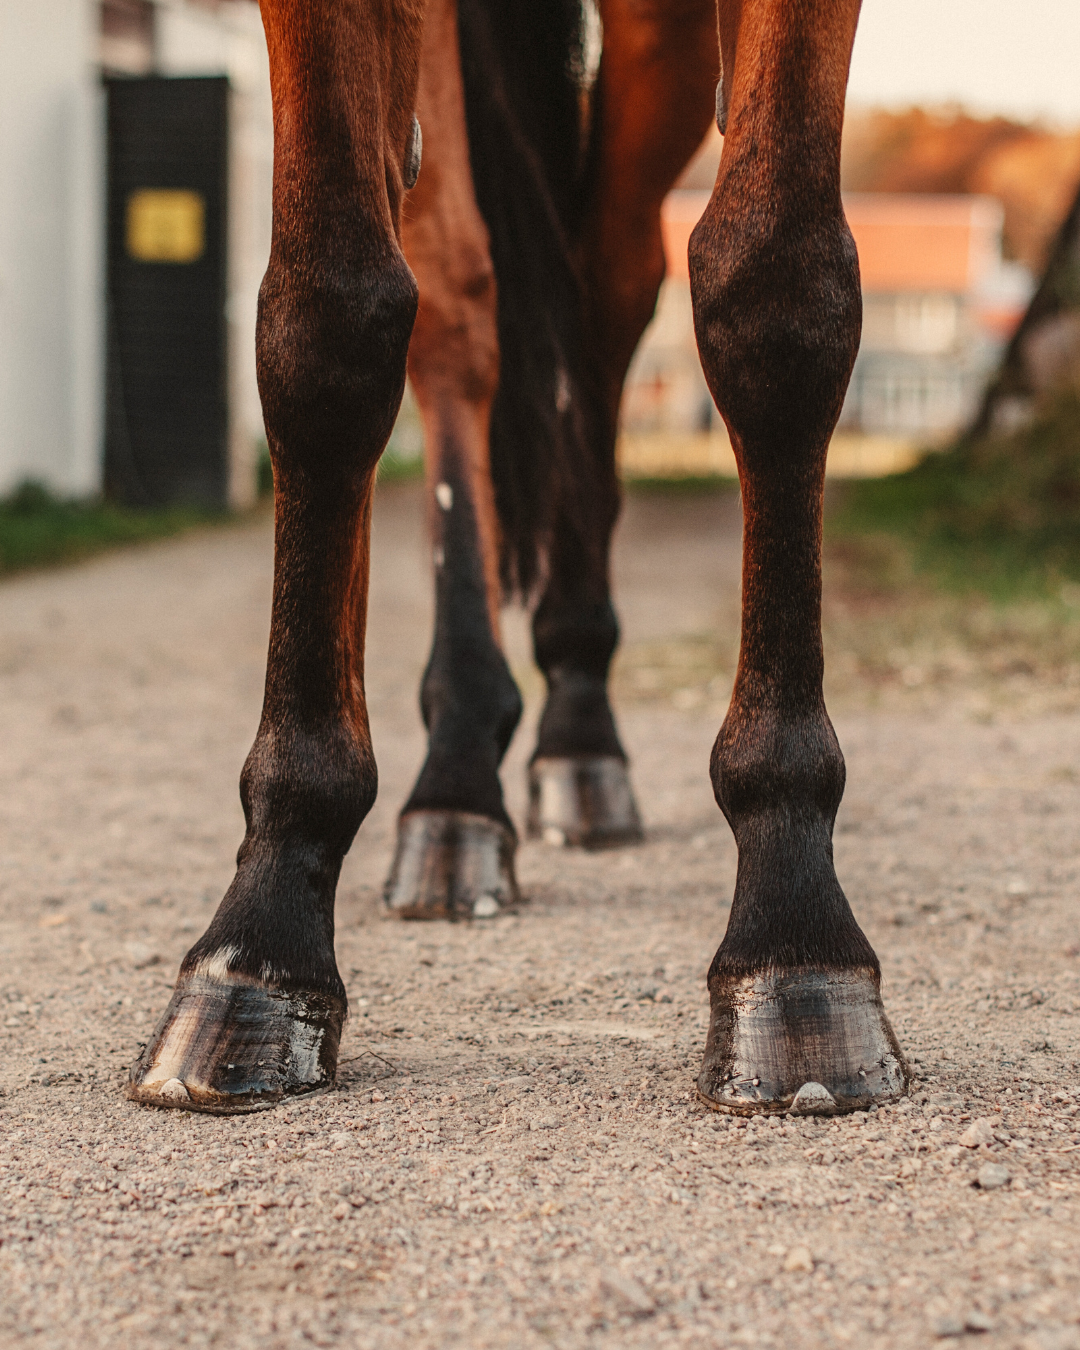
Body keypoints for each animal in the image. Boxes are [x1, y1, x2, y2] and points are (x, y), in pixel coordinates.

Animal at [128, 0, 910, 1119]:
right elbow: (325, 317)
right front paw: (261, 936)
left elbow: (777, 287)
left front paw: (792, 933)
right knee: (461, 309)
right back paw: (457, 783)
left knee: (608, 280)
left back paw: (578, 730)